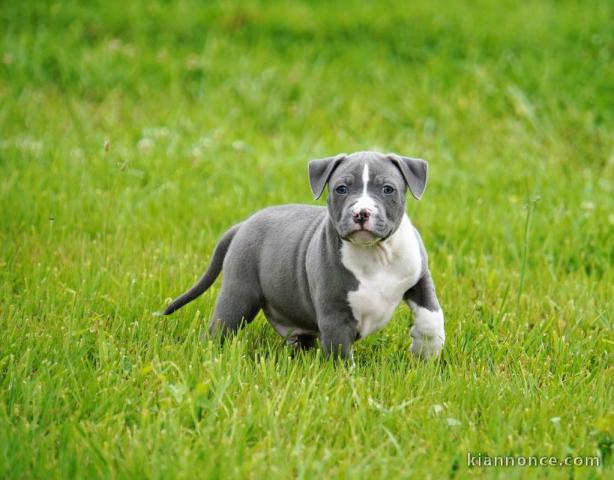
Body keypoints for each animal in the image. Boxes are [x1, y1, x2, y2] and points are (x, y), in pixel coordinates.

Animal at [164, 150, 448, 360]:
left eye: (388, 189)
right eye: (341, 189)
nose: (361, 213)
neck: (374, 254)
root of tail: (244, 223)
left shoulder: (418, 275)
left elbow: (431, 314)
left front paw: (426, 349)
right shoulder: (335, 314)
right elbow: (340, 353)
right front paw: (348, 384)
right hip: (239, 294)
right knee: (220, 328)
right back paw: (211, 355)